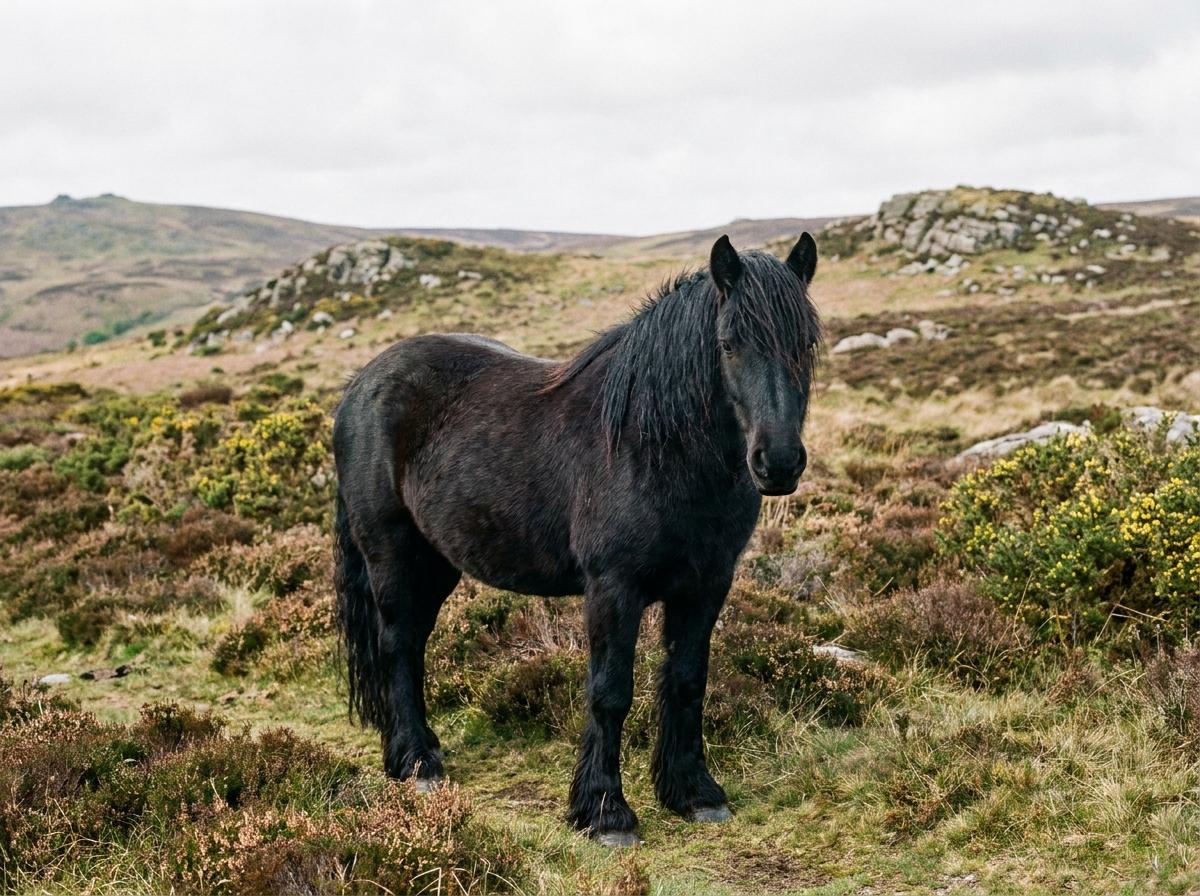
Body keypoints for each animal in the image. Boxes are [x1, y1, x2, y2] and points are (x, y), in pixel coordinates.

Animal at [333, 233, 821, 845]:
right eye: (728, 344)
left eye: (807, 343)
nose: (777, 463)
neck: (651, 445)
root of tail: (360, 385)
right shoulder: (613, 588)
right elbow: (610, 693)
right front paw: (606, 811)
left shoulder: (707, 584)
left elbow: (688, 680)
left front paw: (693, 792)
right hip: (391, 555)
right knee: (397, 645)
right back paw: (417, 763)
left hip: (436, 562)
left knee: (414, 645)